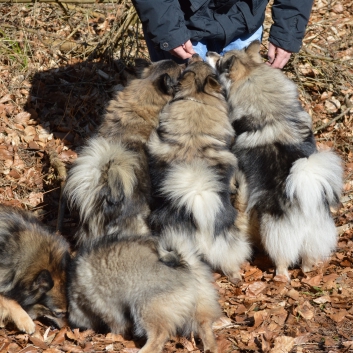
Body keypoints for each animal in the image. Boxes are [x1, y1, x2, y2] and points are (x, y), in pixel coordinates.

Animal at [66, 232, 220, 350]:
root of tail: (186, 267)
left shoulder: (107, 308)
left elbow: (117, 324)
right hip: (200, 305)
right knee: (205, 326)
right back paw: (210, 347)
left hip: (146, 308)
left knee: (158, 336)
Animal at [205, 41, 342, 278]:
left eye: (221, 60)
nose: (209, 51)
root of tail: (305, 204)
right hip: (314, 238)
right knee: (307, 260)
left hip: (274, 233)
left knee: (283, 262)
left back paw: (280, 276)